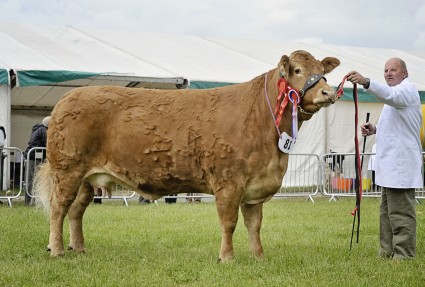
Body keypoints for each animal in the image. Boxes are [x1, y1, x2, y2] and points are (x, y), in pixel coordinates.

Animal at [35, 50, 342, 262]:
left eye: (322, 71)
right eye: (298, 70)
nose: (329, 92)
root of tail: (68, 98)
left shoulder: (255, 186)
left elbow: (254, 225)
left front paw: (258, 257)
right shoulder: (228, 182)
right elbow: (229, 223)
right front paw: (227, 258)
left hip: (88, 178)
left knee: (76, 210)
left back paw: (79, 248)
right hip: (68, 169)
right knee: (59, 208)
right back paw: (57, 250)